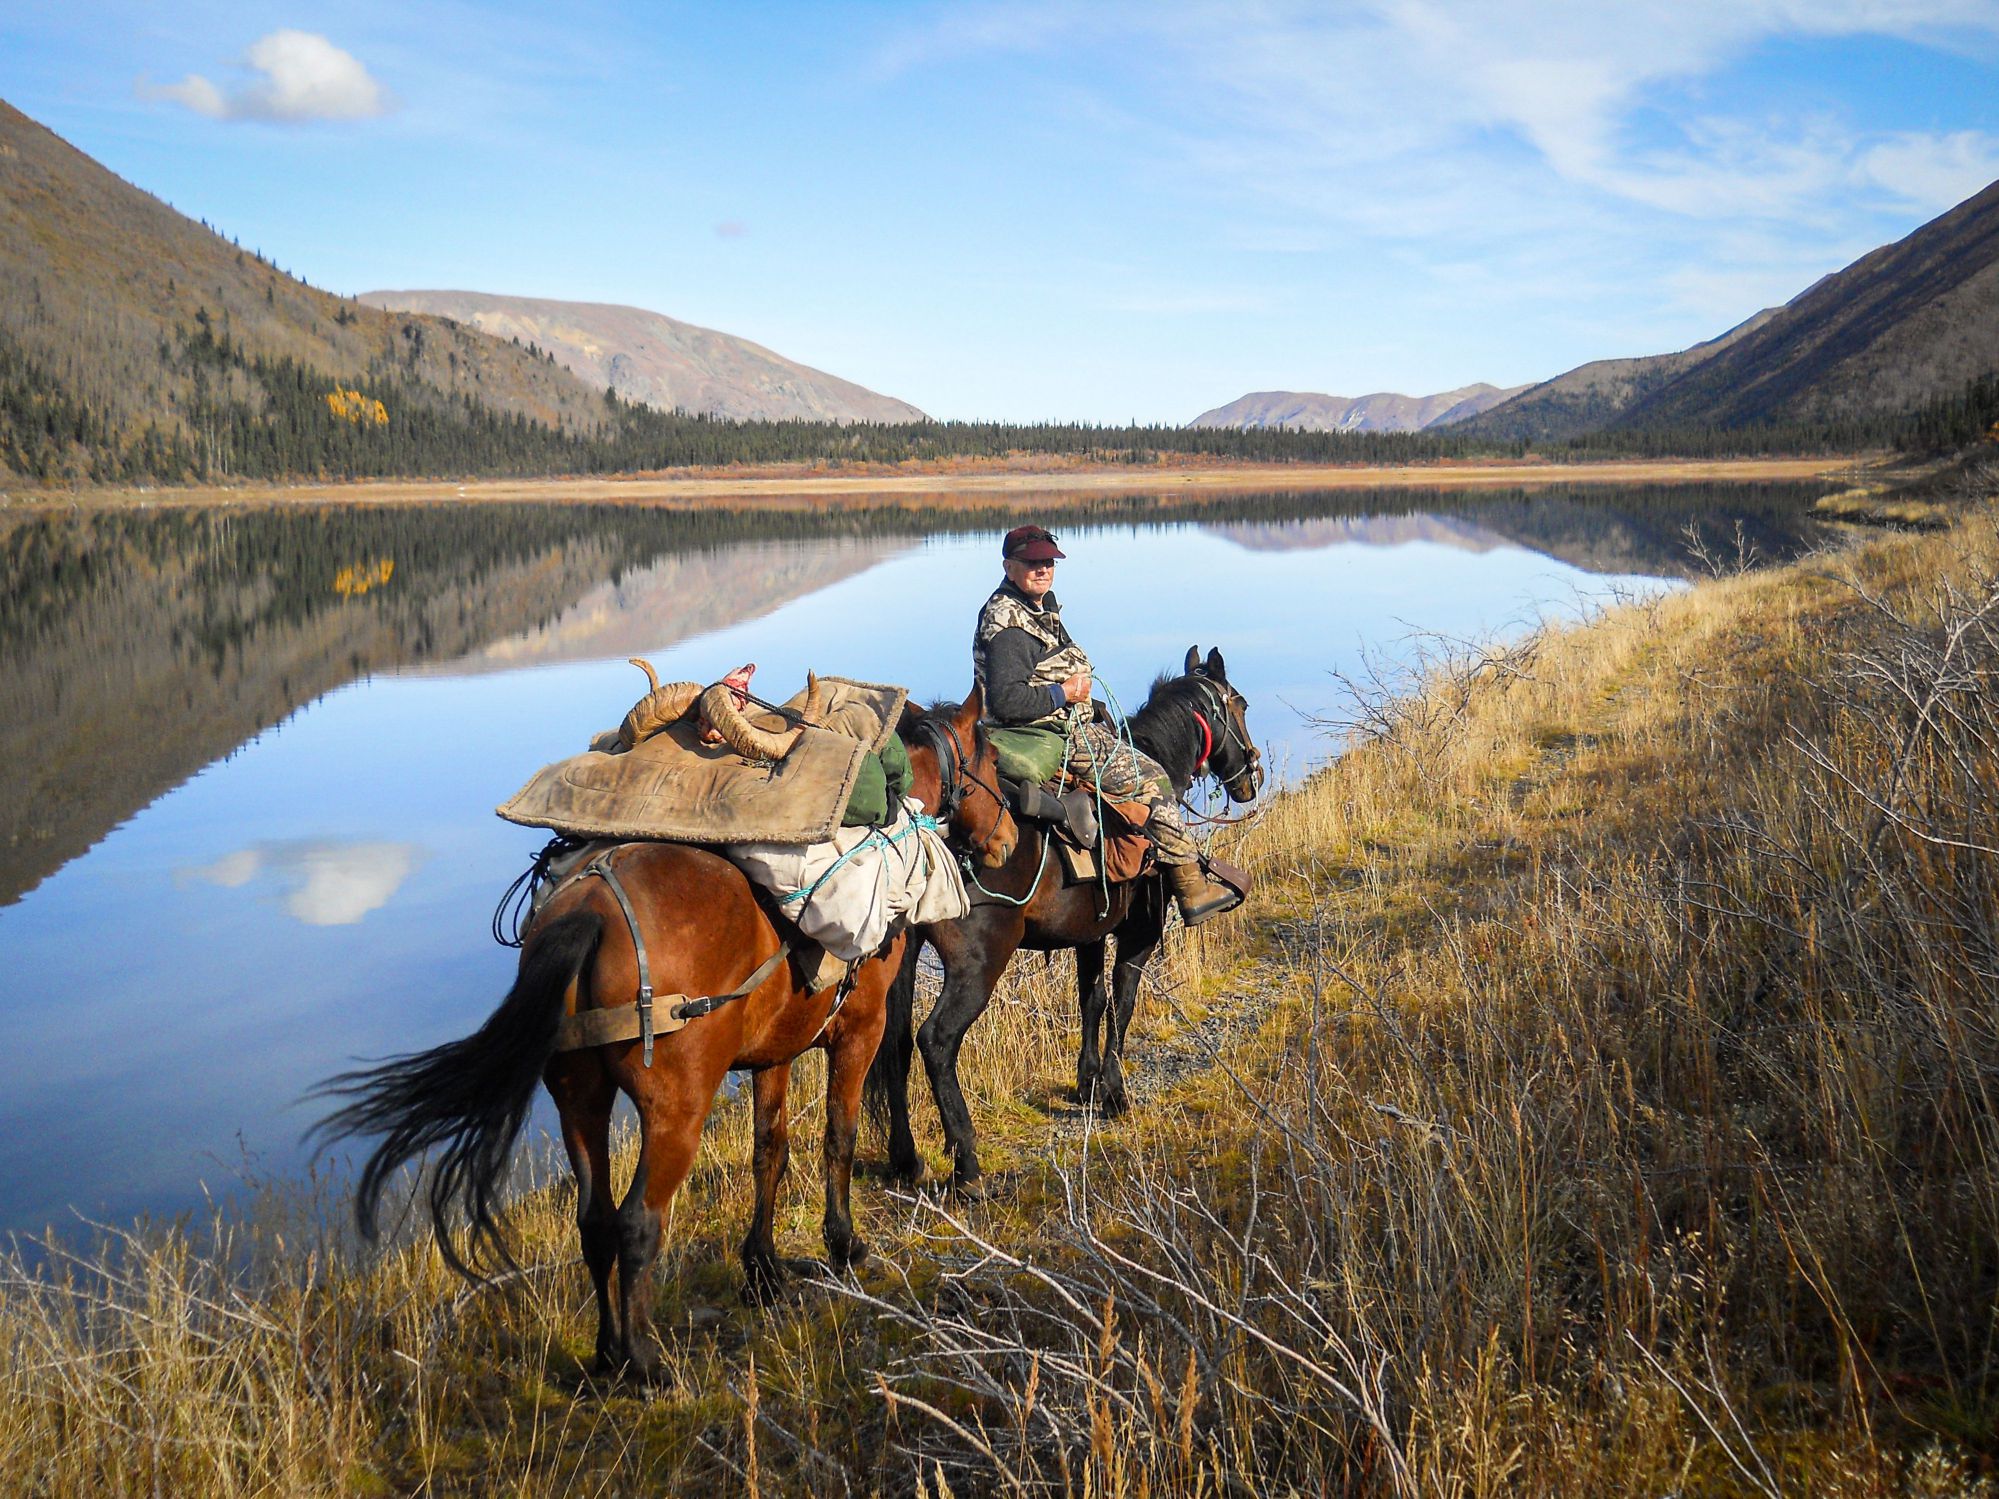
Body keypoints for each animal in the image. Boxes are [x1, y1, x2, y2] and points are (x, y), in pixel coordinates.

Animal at [315, 687, 1015, 1383]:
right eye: (988, 755)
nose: (1008, 837)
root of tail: (588, 912)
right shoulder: (859, 1033)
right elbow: (836, 1140)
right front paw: (842, 1244)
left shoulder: (774, 1054)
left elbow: (770, 1152)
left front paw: (763, 1270)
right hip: (676, 1111)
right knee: (637, 1223)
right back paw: (644, 1361)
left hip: (579, 1100)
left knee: (595, 1220)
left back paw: (607, 1354)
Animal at [863, 647, 1263, 1199]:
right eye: (1239, 704)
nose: (1252, 776)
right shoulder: (1138, 937)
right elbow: (1122, 1004)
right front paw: (1114, 1092)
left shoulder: (1088, 935)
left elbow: (1091, 1001)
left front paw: (1087, 1082)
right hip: (978, 964)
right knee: (936, 1042)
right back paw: (968, 1165)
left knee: (897, 1046)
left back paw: (907, 1160)